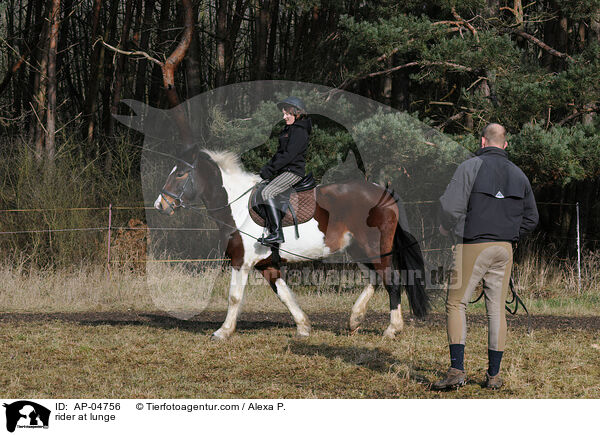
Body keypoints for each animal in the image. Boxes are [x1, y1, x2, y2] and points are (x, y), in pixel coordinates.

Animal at [152, 150, 428, 340]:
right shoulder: (266, 265)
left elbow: (234, 296)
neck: (237, 206)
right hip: (358, 250)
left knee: (391, 281)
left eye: (180, 173)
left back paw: (392, 329)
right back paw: (354, 320)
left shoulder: (241, 262)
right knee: (374, 278)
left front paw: (223, 332)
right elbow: (284, 295)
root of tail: (383, 192)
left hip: (374, 249)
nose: (160, 205)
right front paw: (304, 327)